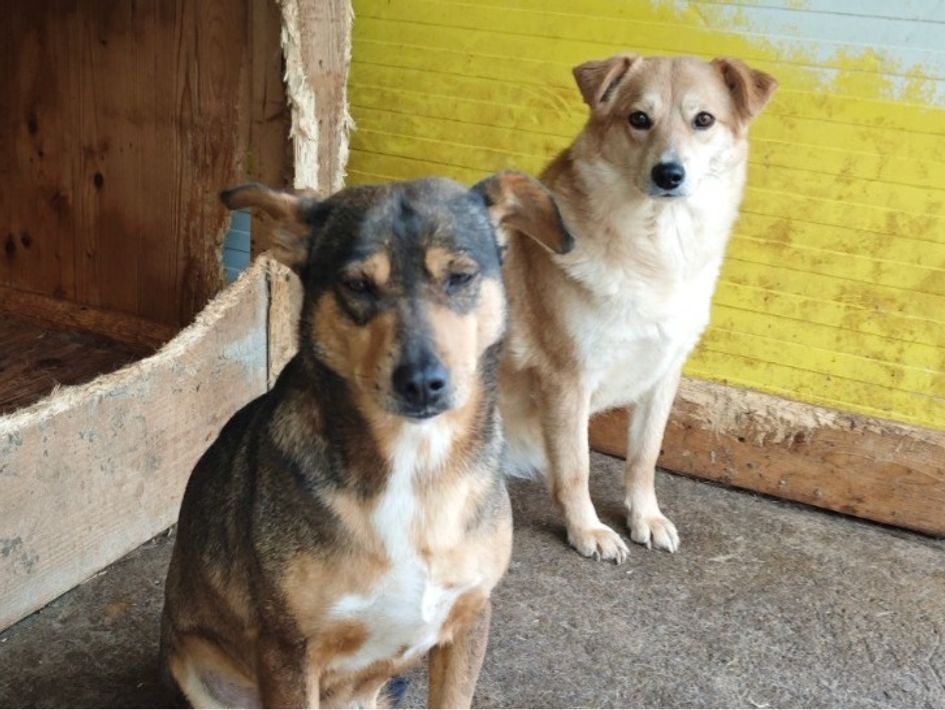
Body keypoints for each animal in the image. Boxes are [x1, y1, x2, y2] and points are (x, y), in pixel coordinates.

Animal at [160, 172, 573, 708]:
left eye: (460, 277)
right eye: (356, 284)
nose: (422, 383)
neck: (415, 465)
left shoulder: (469, 618)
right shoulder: (287, 651)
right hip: (191, 660)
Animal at [498, 53, 777, 563]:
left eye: (703, 120)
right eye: (639, 119)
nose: (669, 174)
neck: (657, 248)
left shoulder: (664, 374)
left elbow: (645, 457)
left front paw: (645, 517)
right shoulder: (567, 379)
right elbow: (576, 469)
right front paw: (587, 529)